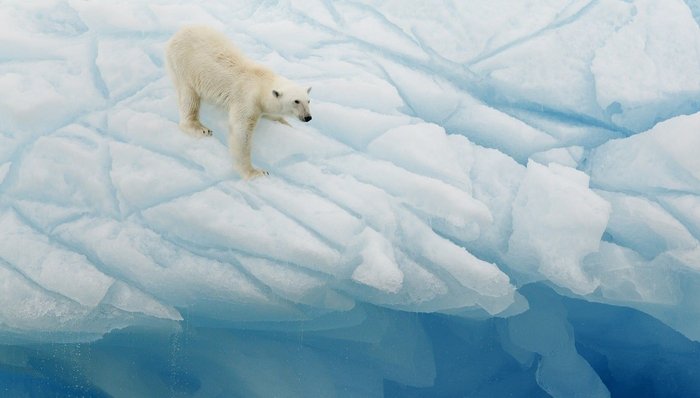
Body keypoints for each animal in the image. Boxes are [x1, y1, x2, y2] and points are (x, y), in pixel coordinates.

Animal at [165, 25, 310, 180]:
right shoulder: (247, 100)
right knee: (189, 96)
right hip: (184, 65)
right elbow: (241, 133)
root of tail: (176, 35)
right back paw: (200, 128)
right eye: (296, 101)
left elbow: (271, 114)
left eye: (308, 100)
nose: (308, 117)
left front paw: (286, 123)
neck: (261, 82)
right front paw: (256, 172)